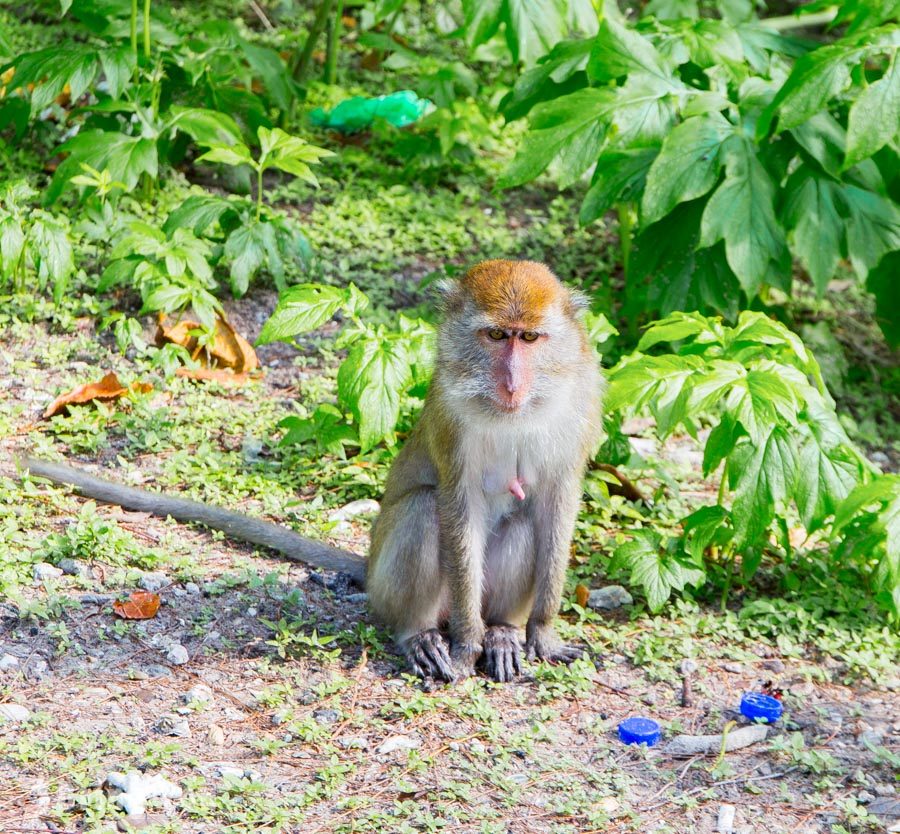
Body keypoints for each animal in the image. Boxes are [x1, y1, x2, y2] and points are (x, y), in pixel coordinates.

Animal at [22, 258, 604, 684]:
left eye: (530, 339)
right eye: (496, 337)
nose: (512, 382)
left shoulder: (581, 404)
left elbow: (557, 502)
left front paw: (542, 633)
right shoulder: (452, 420)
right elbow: (458, 505)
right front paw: (465, 644)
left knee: (524, 520)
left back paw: (503, 630)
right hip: (387, 588)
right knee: (423, 512)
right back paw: (420, 635)